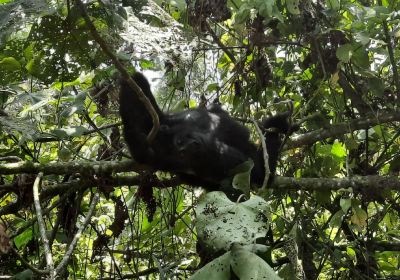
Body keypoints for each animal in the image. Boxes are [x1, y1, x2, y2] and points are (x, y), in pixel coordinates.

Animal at [119, 72, 290, 190]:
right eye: (181, 152)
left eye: (180, 141)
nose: (190, 146)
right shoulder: (163, 158)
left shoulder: (179, 120)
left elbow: (135, 83)